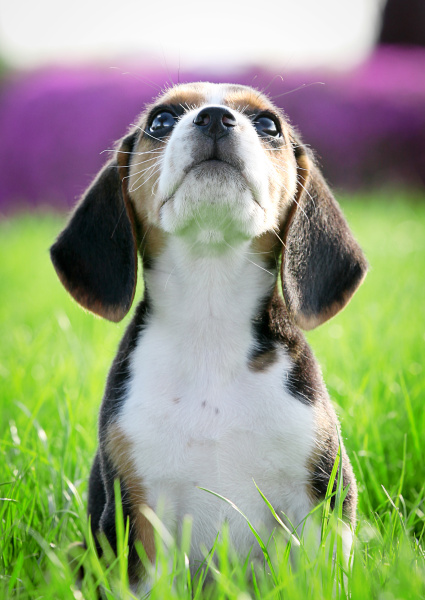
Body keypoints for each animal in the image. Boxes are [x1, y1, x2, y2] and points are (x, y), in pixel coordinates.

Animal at [51, 82, 366, 584]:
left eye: (269, 124)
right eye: (160, 120)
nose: (215, 118)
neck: (210, 314)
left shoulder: (322, 495)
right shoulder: (137, 513)